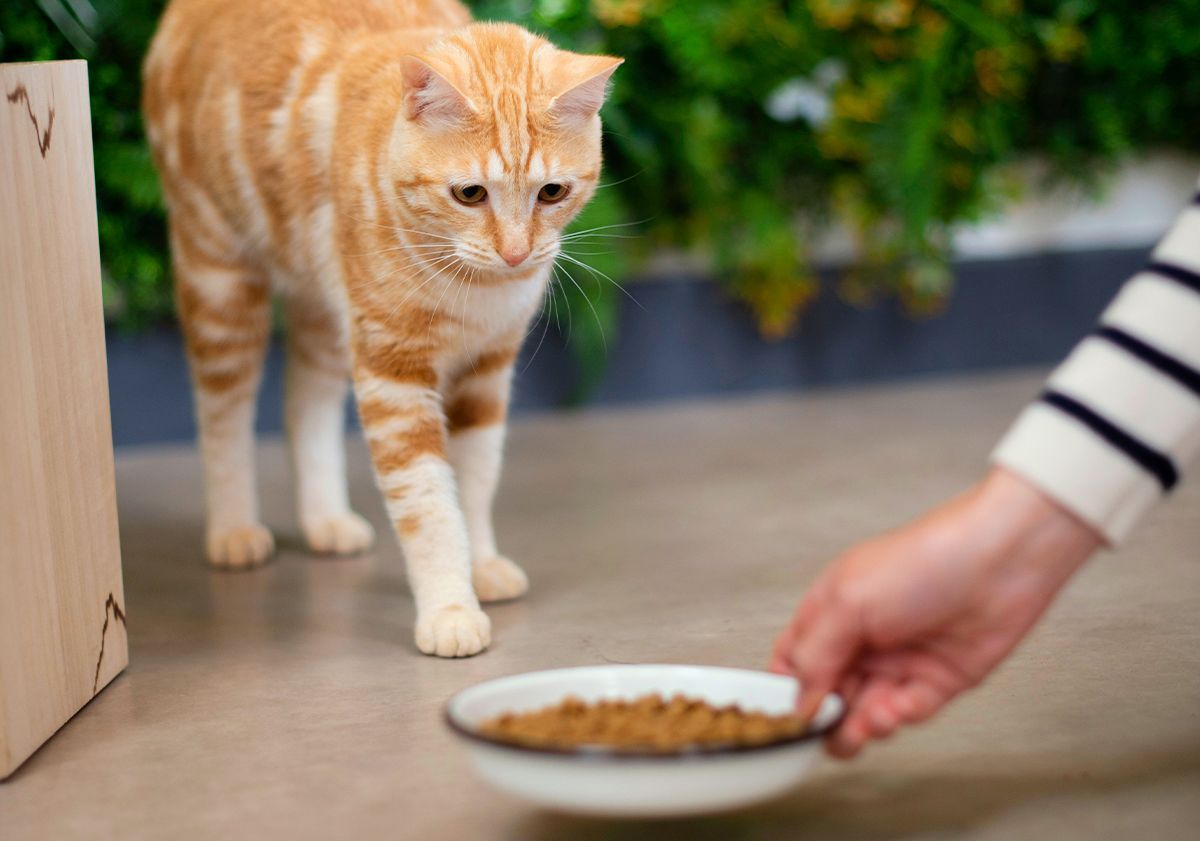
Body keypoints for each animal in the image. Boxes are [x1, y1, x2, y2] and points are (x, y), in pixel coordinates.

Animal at [142, 0, 619, 657]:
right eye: (470, 193)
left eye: (552, 192)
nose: (517, 254)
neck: (475, 288)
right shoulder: (394, 375)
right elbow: (428, 502)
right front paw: (449, 607)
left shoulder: (486, 370)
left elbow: (476, 481)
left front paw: (480, 564)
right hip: (219, 280)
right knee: (222, 418)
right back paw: (235, 527)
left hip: (326, 308)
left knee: (305, 403)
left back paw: (324, 519)